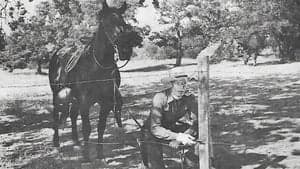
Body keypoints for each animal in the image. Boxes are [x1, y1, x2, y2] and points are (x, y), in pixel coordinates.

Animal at [48, 1, 143, 162]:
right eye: (106, 23)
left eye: (123, 22)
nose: (125, 49)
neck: (96, 67)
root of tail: (58, 53)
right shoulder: (85, 102)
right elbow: (87, 128)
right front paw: (86, 157)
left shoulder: (106, 103)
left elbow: (101, 126)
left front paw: (100, 154)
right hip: (57, 95)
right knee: (56, 116)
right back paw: (56, 145)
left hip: (74, 98)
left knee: (73, 115)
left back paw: (76, 142)